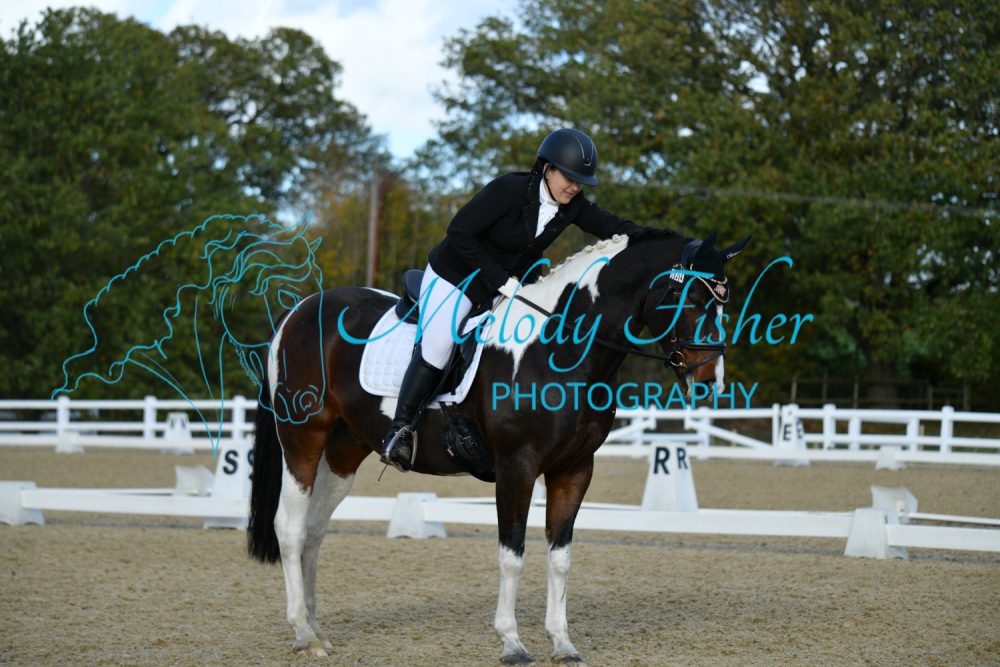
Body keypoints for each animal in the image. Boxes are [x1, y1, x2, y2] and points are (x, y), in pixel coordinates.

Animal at [247, 228, 750, 664]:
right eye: (692, 299)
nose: (711, 381)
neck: (558, 351)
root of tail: (298, 311)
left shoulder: (574, 470)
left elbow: (560, 558)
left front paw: (562, 643)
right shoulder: (516, 468)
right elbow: (513, 556)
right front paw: (512, 643)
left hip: (344, 450)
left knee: (314, 530)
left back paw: (316, 628)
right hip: (303, 438)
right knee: (289, 527)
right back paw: (303, 634)